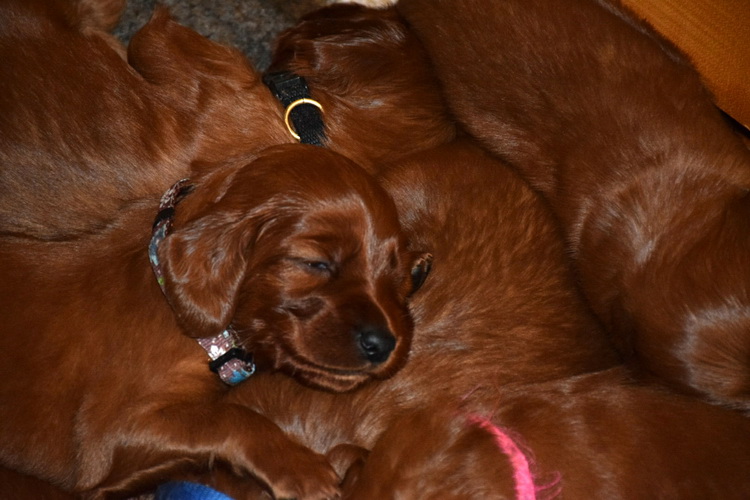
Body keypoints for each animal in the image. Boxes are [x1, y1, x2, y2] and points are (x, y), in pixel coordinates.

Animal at [0, 1, 431, 497]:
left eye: (395, 276)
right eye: (315, 263)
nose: (384, 343)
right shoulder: (110, 434)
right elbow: (228, 418)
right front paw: (304, 468)